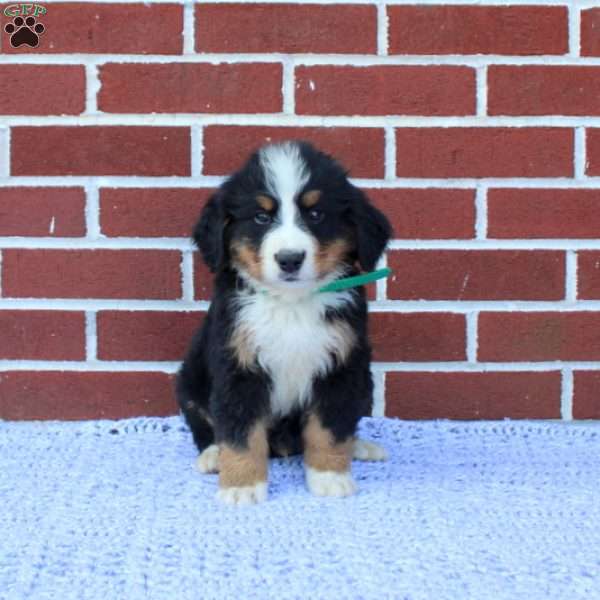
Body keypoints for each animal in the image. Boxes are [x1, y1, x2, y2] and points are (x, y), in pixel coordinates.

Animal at [177, 142, 394, 506]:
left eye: (316, 214)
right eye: (261, 217)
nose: (289, 259)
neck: (291, 304)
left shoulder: (341, 364)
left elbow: (330, 428)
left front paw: (330, 477)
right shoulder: (239, 365)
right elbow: (239, 432)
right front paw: (241, 486)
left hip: (364, 381)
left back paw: (359, 447)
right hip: (190, 378)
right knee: (205, 425)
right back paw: (212, 456)